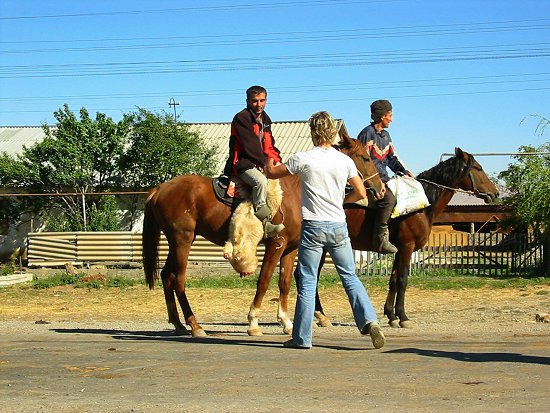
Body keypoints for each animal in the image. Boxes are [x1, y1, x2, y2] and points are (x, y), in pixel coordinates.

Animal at [142, 134, 384, 336]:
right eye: (365, 157)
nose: (380, 188)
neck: (295, 193)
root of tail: (160, 189)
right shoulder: (276, 243)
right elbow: (264, 280)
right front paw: (253, 322)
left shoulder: (290, 248)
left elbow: (284, 282)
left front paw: (286, 323)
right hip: (182, 239)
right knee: (179, 279)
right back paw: (194, 325)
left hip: (176, 241)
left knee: (167, 276)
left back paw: (178, 324)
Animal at [314, 146, 500, 326]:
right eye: (478, 168)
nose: (495, 193)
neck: (422, 206)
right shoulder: (407, 247)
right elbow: (402, 280)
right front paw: (403, 316)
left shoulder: (399, 250)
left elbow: (394, 279)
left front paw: (391, 315)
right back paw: (320, 316)